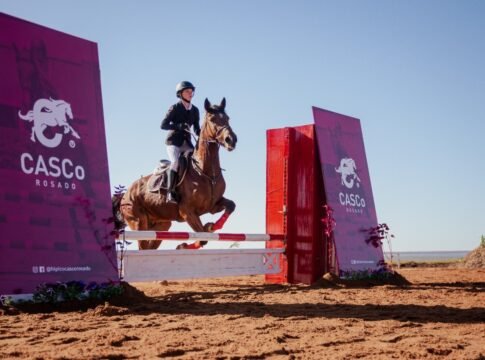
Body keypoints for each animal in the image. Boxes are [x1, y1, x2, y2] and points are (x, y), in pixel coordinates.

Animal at [112, 98, 236, 250]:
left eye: (227, 118)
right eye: (212, 119)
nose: (231, 140)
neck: (205, 172)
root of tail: (125, 194)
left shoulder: (212, 206)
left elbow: (231, 206)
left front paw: (212, 226)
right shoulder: (187, 211)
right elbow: (202, 239)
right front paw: (183, 245)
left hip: (162, 224)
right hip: (139, 222)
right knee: (143, 246)